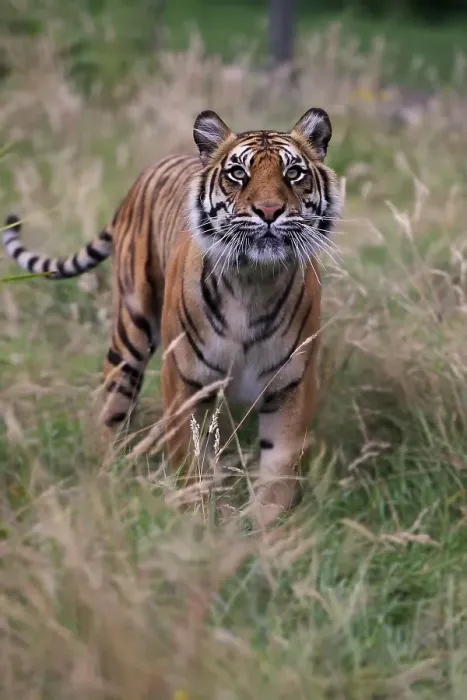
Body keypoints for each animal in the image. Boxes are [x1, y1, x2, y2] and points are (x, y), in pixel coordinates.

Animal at [3, 107, 342, 527]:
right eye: (238, 174)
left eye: (293, 173)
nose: (268, 212)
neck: (253, 283)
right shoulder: (184, 378)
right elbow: (189, 458)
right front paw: (195, 517)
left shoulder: (289, 384)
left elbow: (278, 467)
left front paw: (266, 528)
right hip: (129, 335)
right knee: (110, 411)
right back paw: (106, 477)